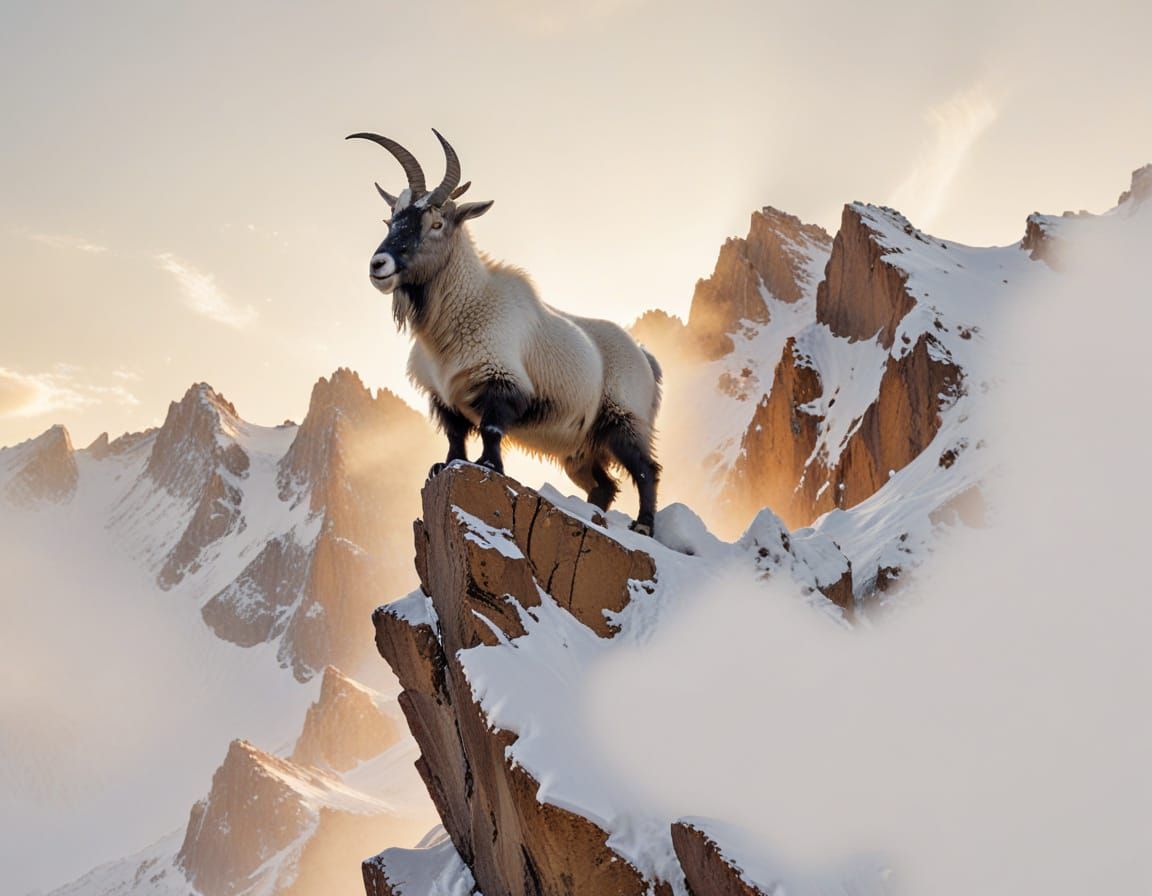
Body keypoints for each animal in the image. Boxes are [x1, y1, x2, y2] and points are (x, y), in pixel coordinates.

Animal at [347, 129, 662, 534]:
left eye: (437, 223)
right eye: (391, 220)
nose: (379, 264)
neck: (470, 304)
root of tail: (645, 357)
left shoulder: (500, 381)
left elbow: (492, 430)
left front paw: (488, 466)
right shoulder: (444, 397)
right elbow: (454, 437)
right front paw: (443, 466)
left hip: (624, 420)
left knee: (646, 468)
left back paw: (643, 526)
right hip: (581, 451)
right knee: (605, 485)